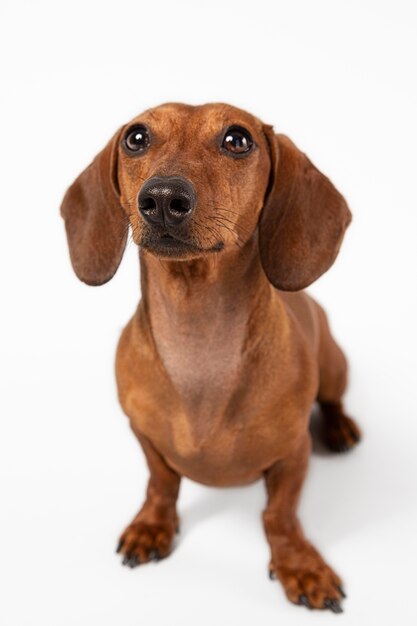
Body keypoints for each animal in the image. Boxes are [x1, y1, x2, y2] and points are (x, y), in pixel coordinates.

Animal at [61, 101, 360, 608]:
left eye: (237, 140)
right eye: (136, 138)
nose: (163, 197)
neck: (198, 346)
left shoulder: (293, 453)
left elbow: (279, 515)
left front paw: (299, 565)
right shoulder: (144, 434)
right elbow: (161, 483)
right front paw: (152, 526)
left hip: (336, 367)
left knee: (334, 400)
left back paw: (340, 428)